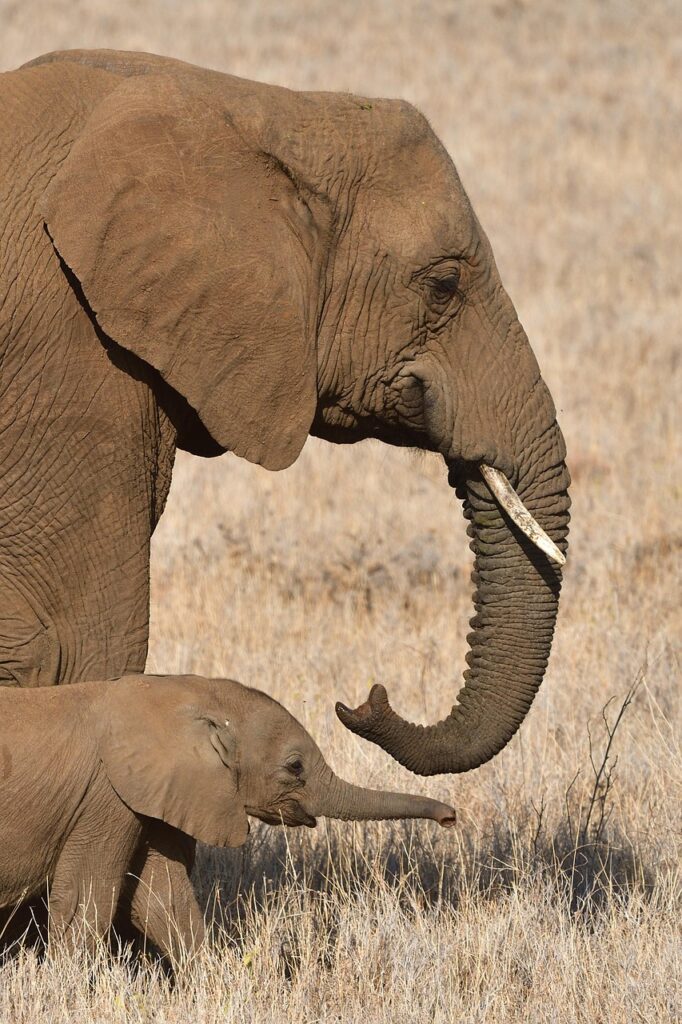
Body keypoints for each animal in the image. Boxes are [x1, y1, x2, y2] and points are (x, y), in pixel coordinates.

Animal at [0, 673, 456, 958]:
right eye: (295, 767)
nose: (451, 818)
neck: (189, 693)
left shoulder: (156, 794)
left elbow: (161, 900)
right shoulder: (109, 794)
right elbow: (85, 898)